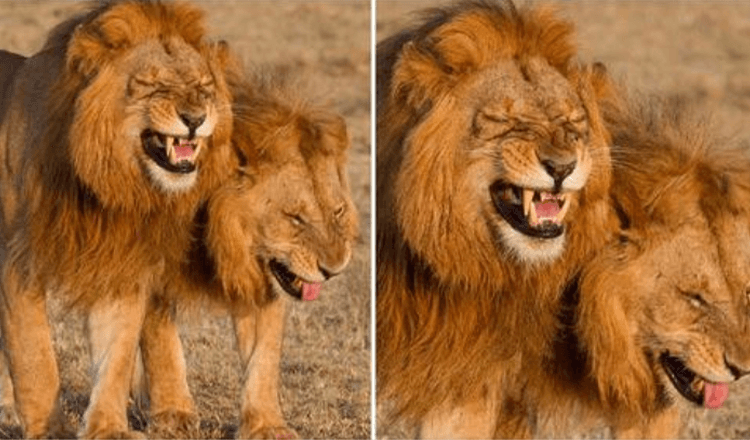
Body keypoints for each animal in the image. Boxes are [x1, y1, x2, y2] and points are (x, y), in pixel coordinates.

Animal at [0, 1, 235, 438]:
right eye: (150, 85)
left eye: (204, 87)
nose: (195, 117)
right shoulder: (15, 263)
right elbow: (34, 355)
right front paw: (49, 430)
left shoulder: (121, 264)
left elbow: (116, 355)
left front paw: (108, 426)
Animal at [135, 77, 362, 438]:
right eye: (295, 218)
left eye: (338, 211)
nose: (335, 269)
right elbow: (160, 339)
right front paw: (172, 414)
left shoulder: (263, 279)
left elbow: (264, 355)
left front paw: (267, 424)